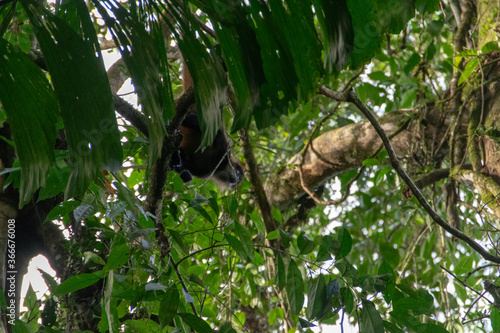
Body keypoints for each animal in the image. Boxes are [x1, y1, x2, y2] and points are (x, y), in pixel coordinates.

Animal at [170, 60, 244, 188]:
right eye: (238, 174)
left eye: (238, 180)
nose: (235, 181)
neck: (219, 165)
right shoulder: (223, 148)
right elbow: (212, 130)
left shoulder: (204, 172)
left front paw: (182, 170)